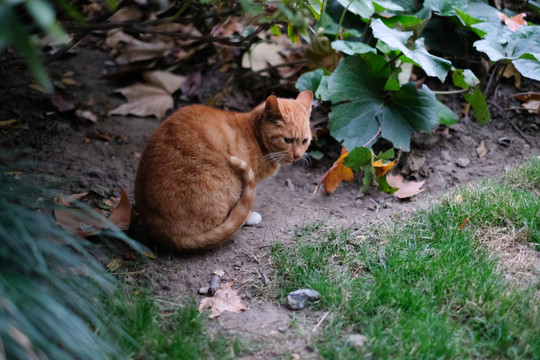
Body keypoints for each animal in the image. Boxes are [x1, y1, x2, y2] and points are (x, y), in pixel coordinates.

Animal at [134, 90, 312, 250]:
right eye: (287, 140)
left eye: (305, 141)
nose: (298, 155)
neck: (255, 137)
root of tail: (164, 234)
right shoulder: (246, 180)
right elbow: (243, 204)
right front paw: (248, 216)